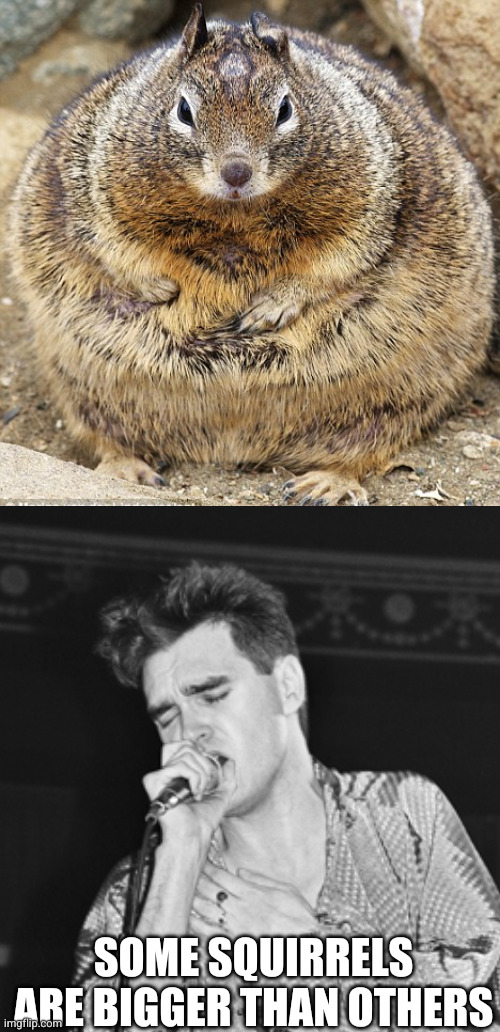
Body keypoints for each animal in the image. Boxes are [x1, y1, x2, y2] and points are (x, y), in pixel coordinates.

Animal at [10, 3, 494, 504]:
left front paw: (268, 310)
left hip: (397, 398)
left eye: (285, 109)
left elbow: (338, 258)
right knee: (105, 437)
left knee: (365, 449)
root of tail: (231, 446)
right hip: (80, 387)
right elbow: (112, 243)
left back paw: (323, 484)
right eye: (183, 109)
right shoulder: (89, 173)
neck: (234, 219)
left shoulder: (375, 190)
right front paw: (160, 289)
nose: (236, 172)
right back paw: (128, 471)